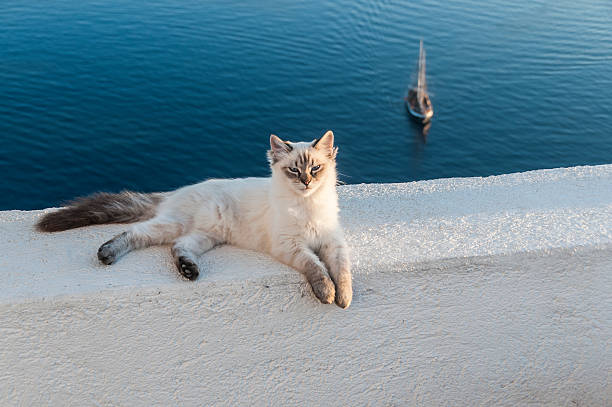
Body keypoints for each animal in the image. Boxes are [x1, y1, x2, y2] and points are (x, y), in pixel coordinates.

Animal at [38, 131, 352, 310]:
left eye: (315, 168)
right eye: (294, 171)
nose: (307, 182)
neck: (307, 205)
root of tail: (174, 193)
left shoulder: (333, 243)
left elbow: (342, 272)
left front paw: (344, 298)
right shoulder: (290, 245)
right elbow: (317, 267)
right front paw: (327, 293)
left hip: (207, 236)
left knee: (179, 246)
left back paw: (188, 270)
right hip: (172, 225)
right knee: (135, 233)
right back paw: (107, 253)